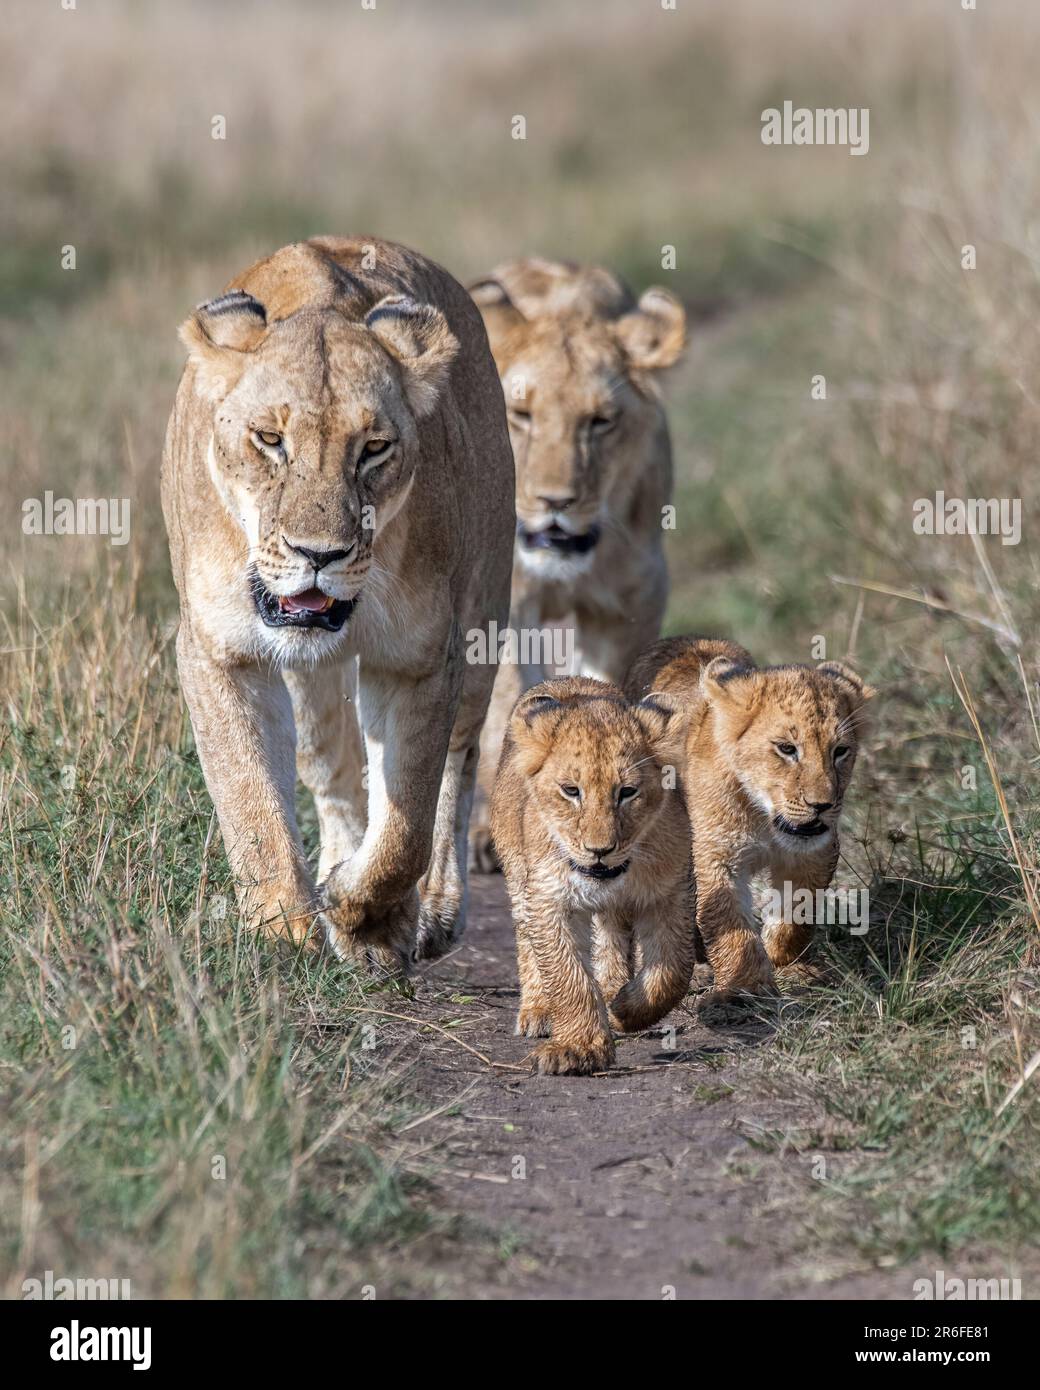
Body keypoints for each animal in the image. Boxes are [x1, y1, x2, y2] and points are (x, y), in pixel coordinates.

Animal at [160, 237, 514, 974]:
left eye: (373, 449)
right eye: (270, 440)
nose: (318, 553)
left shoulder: (419, 658)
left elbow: (407, 821)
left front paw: (367, 919)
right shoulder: (219, 652)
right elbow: (250, 802)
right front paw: (282, 934)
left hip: (484, 620)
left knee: (458, 767)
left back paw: (433, 911)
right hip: (312, 680)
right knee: (334, 766)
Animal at [466, 257, 686, 871]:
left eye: (599, 421)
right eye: (521, 414)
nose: (555, 501)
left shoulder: (630, 605)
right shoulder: (505, 604)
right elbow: (508, 708)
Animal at [491, 677, 695, 1075]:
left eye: (627, 792)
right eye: (571, 791)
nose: (599, 849)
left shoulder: (671, 892)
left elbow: (673, 969)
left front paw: (625, 1009)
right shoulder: (551, 898)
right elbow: (567, 976)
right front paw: (579, 1048)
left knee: (611, 937)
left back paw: (613, 991)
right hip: (519, 876)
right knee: (527, 940)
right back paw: (538, 1010)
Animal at [626, 637, 875, 1003]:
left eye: (840, 751)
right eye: (786, 748)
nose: (821, 805)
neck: (764, 816)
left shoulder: (814, 852)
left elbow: (798, 911)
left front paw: (787, 962)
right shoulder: (716, 856)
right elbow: (729, 924)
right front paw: (746, 985)